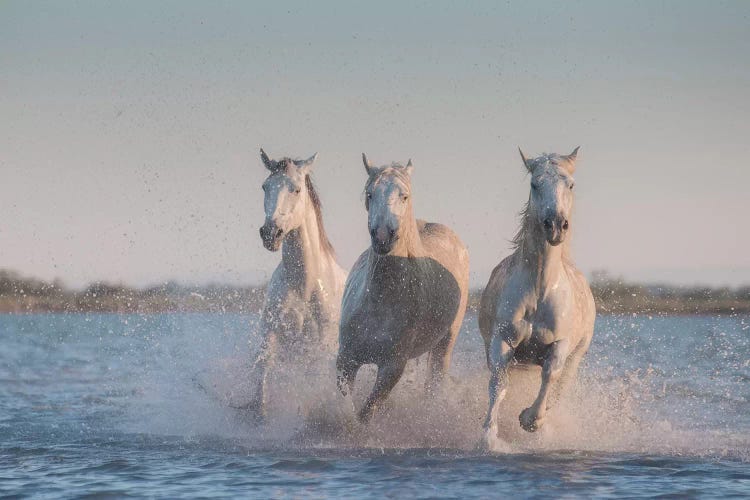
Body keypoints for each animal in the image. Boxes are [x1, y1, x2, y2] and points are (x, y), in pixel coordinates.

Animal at [250, 147, 350, 418]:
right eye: (265, 186)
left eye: (295, 189)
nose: (270, 233)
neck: (304, 285)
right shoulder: (271, 338)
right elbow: (262, 383)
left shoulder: (317, 351)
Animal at [336, 155, 468, 422]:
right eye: (370, 193)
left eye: (404, 196)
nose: (383, 236)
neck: (381, 301)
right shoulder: (346, 358)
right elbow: (346, 406)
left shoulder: (392, 367)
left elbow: (365, 413)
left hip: (445, 344)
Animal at [482, 147, 600, 438]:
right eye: (535, 184)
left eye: (570, 184)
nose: (555, 225)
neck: (540, 290)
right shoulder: (503, 340)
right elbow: (498, 384)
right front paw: (489, 436)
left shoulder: (561, 344)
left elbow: (550, 375)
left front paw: (530, 419)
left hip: (577, 356)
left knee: (560, 387)